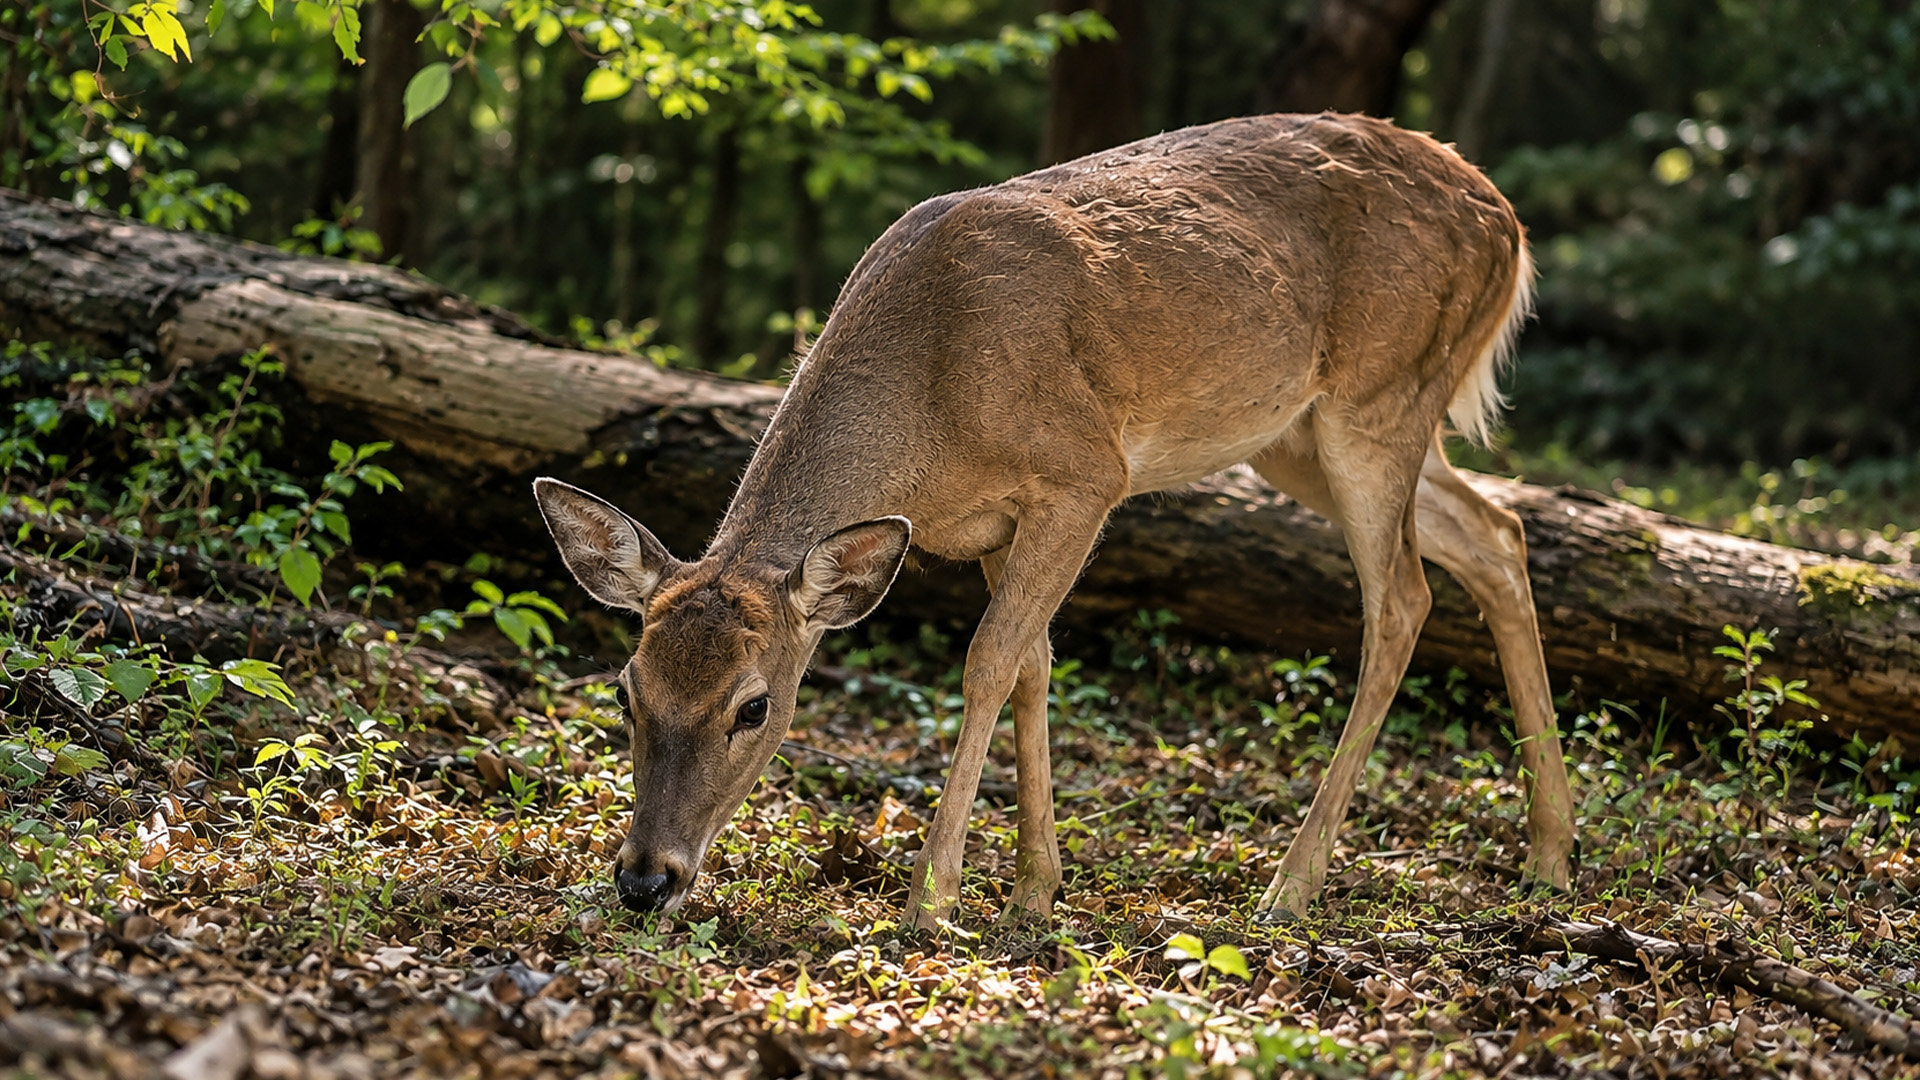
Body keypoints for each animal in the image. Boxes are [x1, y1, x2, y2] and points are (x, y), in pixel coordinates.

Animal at [534, 112, 1576, 929]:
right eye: (625, 690)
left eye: (753, 706)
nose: (644, 882)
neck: (932, 410)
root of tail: (1511, 223)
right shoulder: (996, 524)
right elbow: (1033, 664)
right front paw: (1037, 890)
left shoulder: (1083, 476)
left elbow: (988, 660)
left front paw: (934, 897)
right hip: (1300, 433)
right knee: (1497, 532)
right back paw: (1551, 857)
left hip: (1380, 395)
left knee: (1402, 597)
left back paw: (1293, 883)